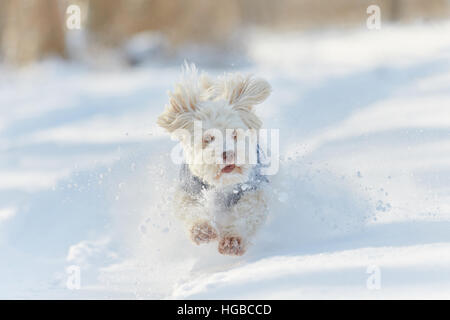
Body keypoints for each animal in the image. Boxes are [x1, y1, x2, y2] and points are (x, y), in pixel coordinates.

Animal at [157, 63, 270, 256]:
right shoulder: (189, 190)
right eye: (208, 139)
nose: (228, 153)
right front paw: (202, 231)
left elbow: (246, 212)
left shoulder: (255, 190)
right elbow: (189, 209)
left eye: (235, 134)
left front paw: (232, 240)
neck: (223, 185)